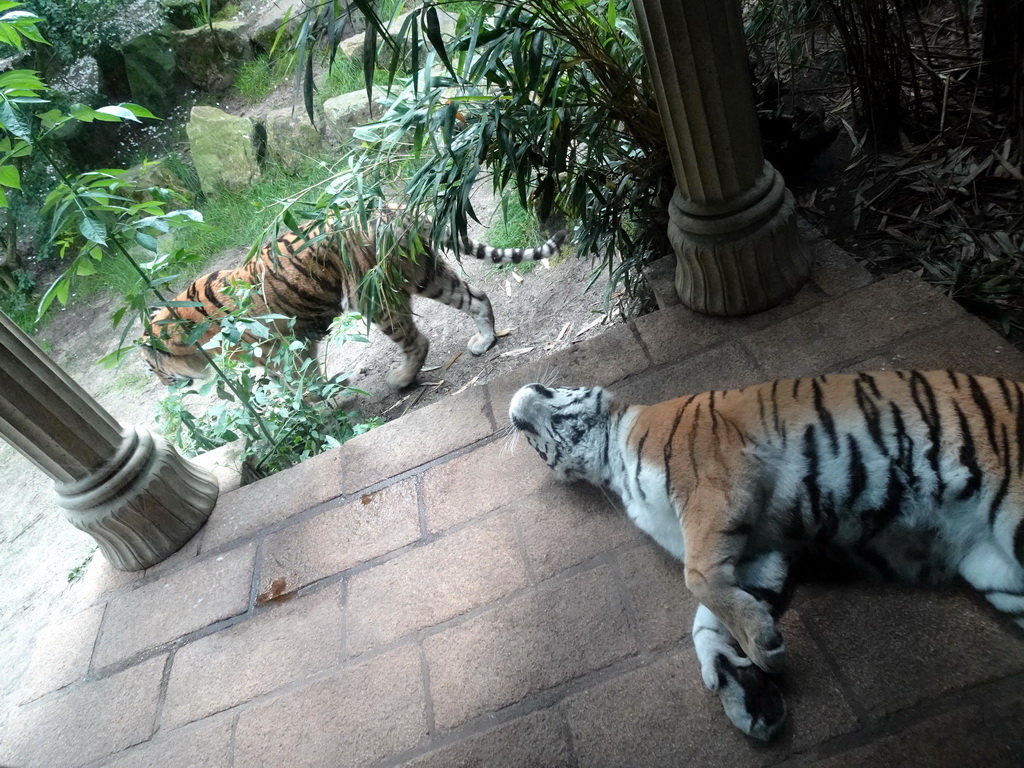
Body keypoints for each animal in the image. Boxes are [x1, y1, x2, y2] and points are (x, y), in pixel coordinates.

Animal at [141, 211, 569, 387]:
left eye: (150, 367)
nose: (163, 384)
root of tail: (396, 209)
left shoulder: (281, 355)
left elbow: (297, 389)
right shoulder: (300, 344)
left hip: (375, 297)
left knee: (418, 340)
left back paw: (401, 381)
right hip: (426, 275)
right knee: (477, 296)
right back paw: (485, 341)